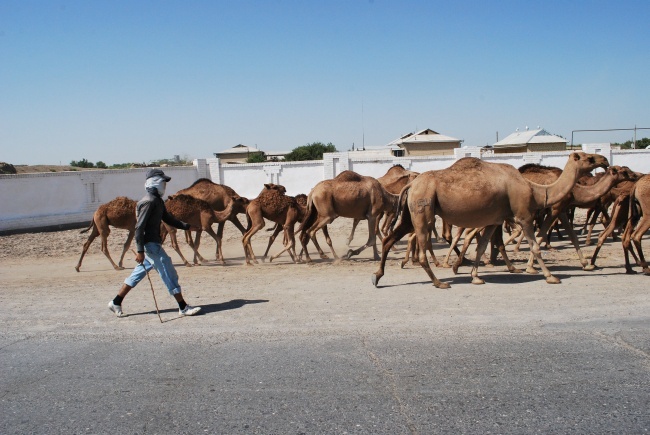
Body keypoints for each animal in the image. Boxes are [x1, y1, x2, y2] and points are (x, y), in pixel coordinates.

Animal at [370, 153, 608, 290]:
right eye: (588, 158)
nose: (604, 160)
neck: (535, 190)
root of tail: (411, 185)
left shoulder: (495, 220)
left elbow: (482, 245)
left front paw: (476, 277)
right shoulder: (523, 215)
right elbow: (535, 246)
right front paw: (551, 277)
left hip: (410, 213)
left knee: (390, 239)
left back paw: (377, 277)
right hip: (423, 208)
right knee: (420, 248)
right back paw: (439, 282)